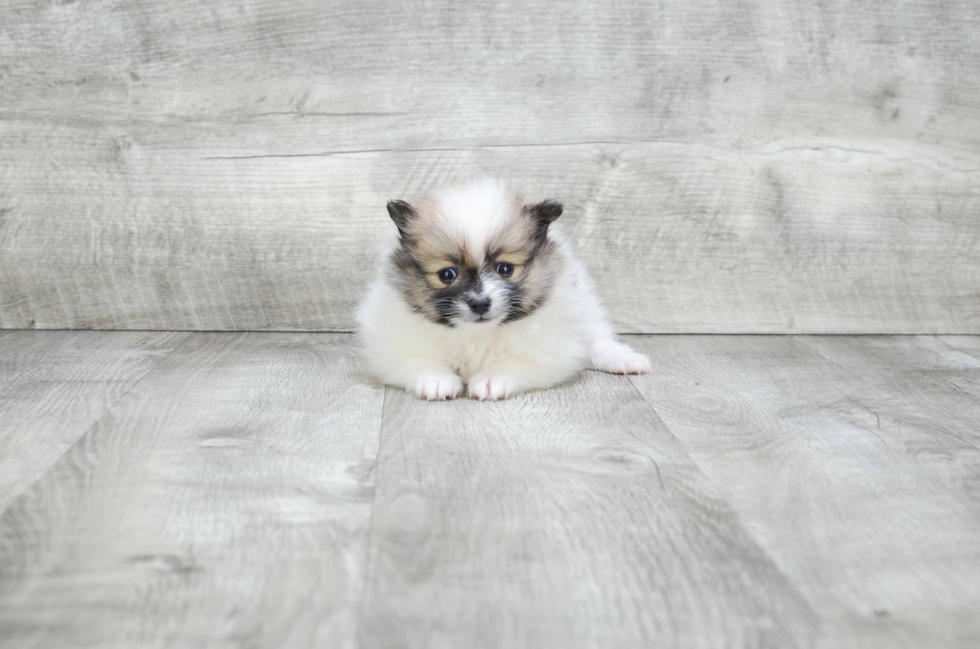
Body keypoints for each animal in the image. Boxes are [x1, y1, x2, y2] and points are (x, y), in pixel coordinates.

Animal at [354, 177, 652, 400]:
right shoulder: (394, 345)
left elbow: (514, 362)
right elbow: (421, 359)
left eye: (505, 269)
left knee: (596, 340)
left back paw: (625, 360)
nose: (480, 303)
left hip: (585, 309)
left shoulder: (549, 350)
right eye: (447, 274)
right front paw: (437, 381)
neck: (476, 333)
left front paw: (490, 380)